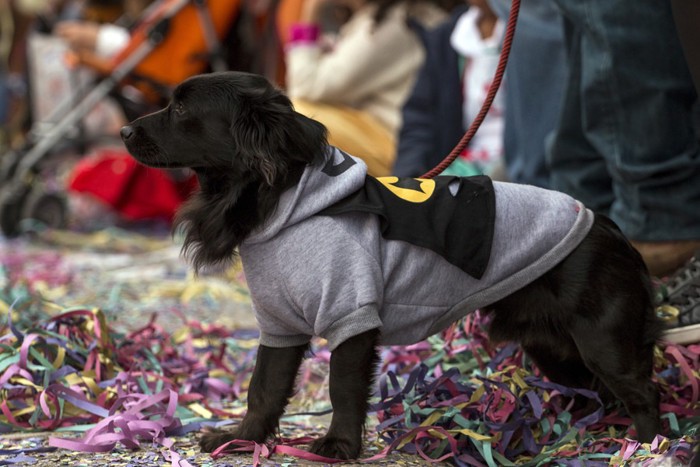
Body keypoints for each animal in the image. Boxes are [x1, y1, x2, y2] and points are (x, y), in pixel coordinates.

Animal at [120, 72, 660, 460]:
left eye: (181, 108)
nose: (123, 129)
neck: (286, 203)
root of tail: (606, 226)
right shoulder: (279, 325)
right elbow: (264, 388)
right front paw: (243, 439)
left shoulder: (351, 317)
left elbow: (342, 388)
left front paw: (339, 447)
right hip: (552, 345)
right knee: (595, 394)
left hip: (601, 341)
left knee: (643, 394)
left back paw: (647, 446)